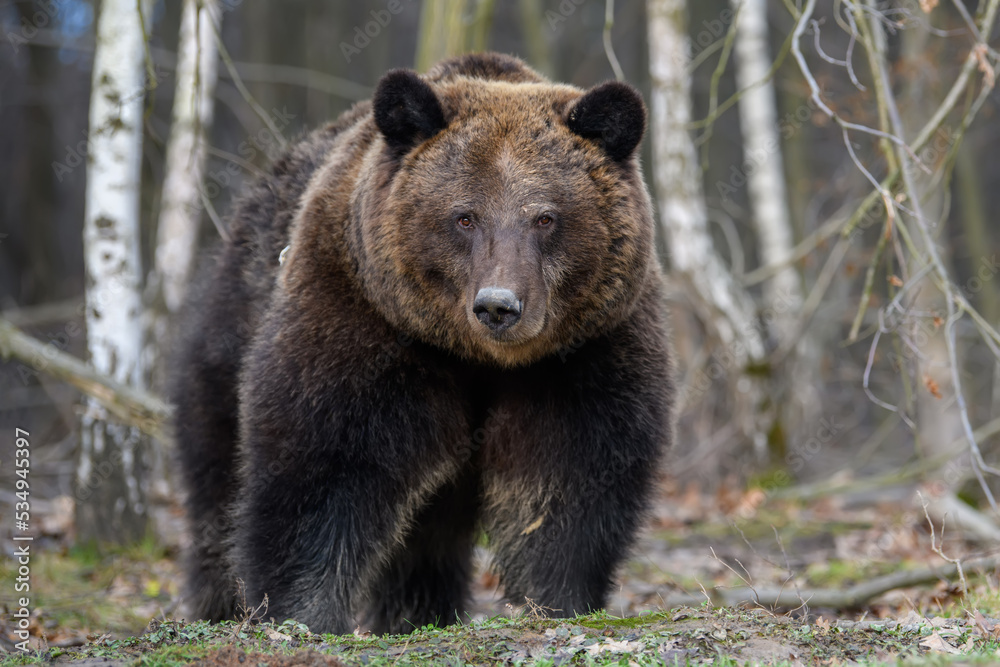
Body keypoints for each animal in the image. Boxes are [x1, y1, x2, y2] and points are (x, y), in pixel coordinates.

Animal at [172, 53, 672, 636]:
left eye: (546, 217)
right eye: (464, 216)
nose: (498, 305)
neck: (480, 360)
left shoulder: (583, 352)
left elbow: (570, 481)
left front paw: (557, 599)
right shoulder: (365, 319)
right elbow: (324, 464)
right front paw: (301, 611)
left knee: (427, 535)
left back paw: (417, 611)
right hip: (232, 326)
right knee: (217, 478)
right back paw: (219, 602)